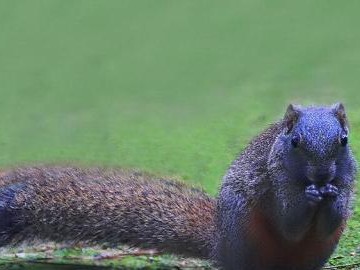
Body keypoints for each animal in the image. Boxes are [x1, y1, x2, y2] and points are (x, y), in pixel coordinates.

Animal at [0, 103, 356, 270]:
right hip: (244, 230)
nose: (322, 176)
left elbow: (331, 220)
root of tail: (220, 245)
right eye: (295, 142)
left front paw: (332, 197)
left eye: (344, 140)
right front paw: (310, 197)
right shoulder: (274, 178)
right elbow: (289, 222)